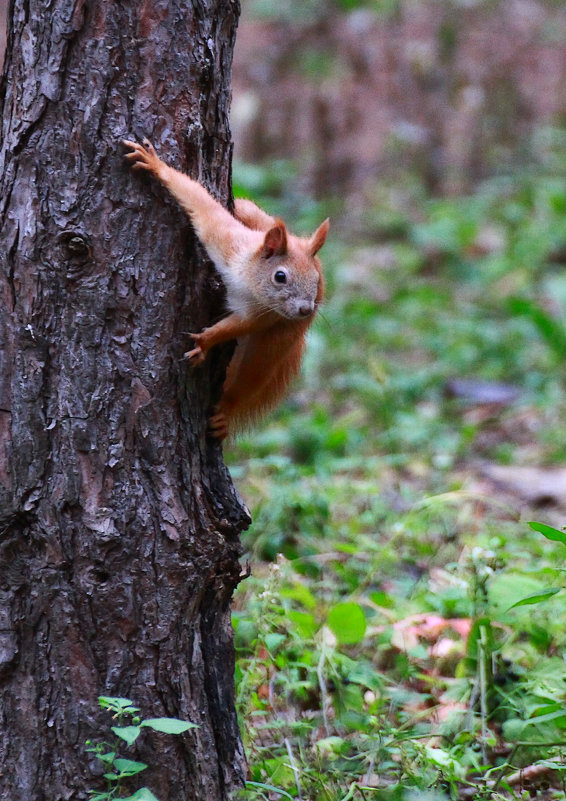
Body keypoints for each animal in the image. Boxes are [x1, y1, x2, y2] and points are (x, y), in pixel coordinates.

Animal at [122, 138, 330, 438]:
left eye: (315, 281)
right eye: (280, 276)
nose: (305, 310)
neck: (249, 284)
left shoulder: (263, 315)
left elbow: (236, 326)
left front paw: (205, 342)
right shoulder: (227, 240)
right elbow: (201, 204)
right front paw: (157, 165)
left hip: (281, 337)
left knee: (256, 371)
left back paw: (226, 411)